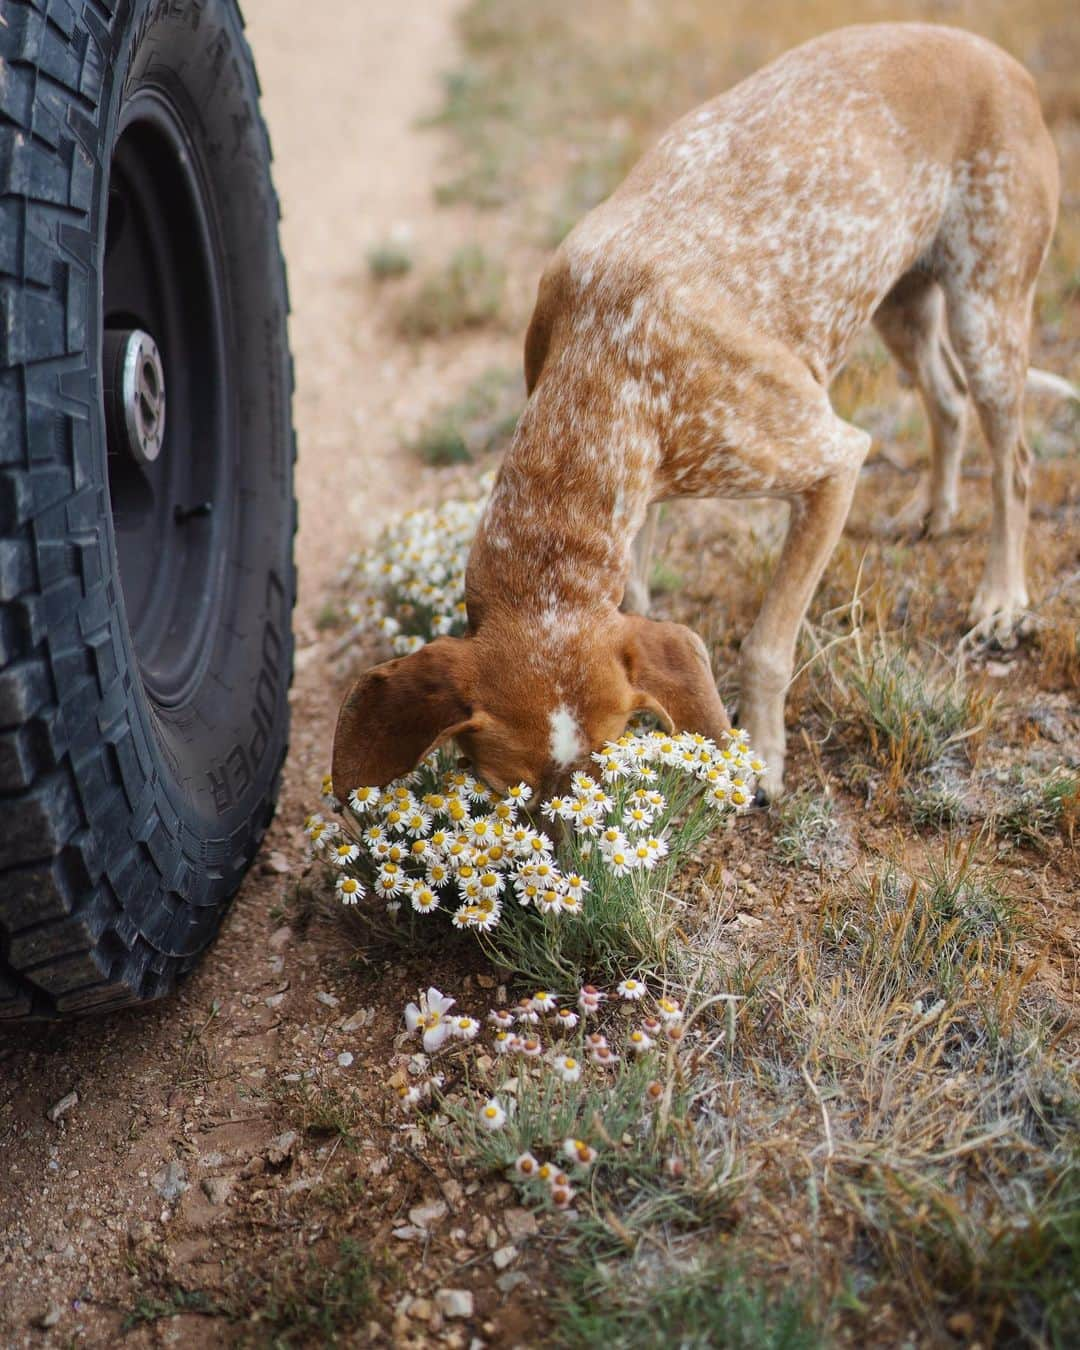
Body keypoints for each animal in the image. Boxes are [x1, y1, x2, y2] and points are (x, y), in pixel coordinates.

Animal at [333, 23, 1069, 799]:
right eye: (511, 796)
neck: (605, 356)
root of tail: (994, 54)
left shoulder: (833, 461)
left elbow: (767, 646)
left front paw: (763, 755)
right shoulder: (637, 499)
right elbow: (643, 592)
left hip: (986, 315)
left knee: (1015, 461)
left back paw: (1002, 597)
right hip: (902, 305)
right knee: (946, 401)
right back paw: (933, 511)